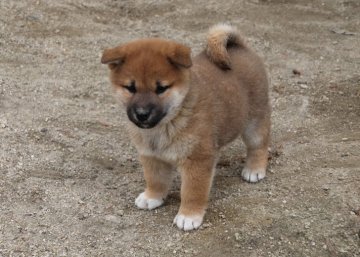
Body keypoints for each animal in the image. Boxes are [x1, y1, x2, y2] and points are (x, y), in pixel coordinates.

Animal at [101, 24, 270, 230]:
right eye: (130, 88)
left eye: (161, 88)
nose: (142, 114)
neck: (168, 122)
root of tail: (240, 47)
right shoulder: (151, 156)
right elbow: (155, 179)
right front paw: (152, 197)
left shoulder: (197, 160)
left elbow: (192, 191)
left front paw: (189, 215)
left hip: (254, 123)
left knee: (259, 146)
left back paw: (254, 170)